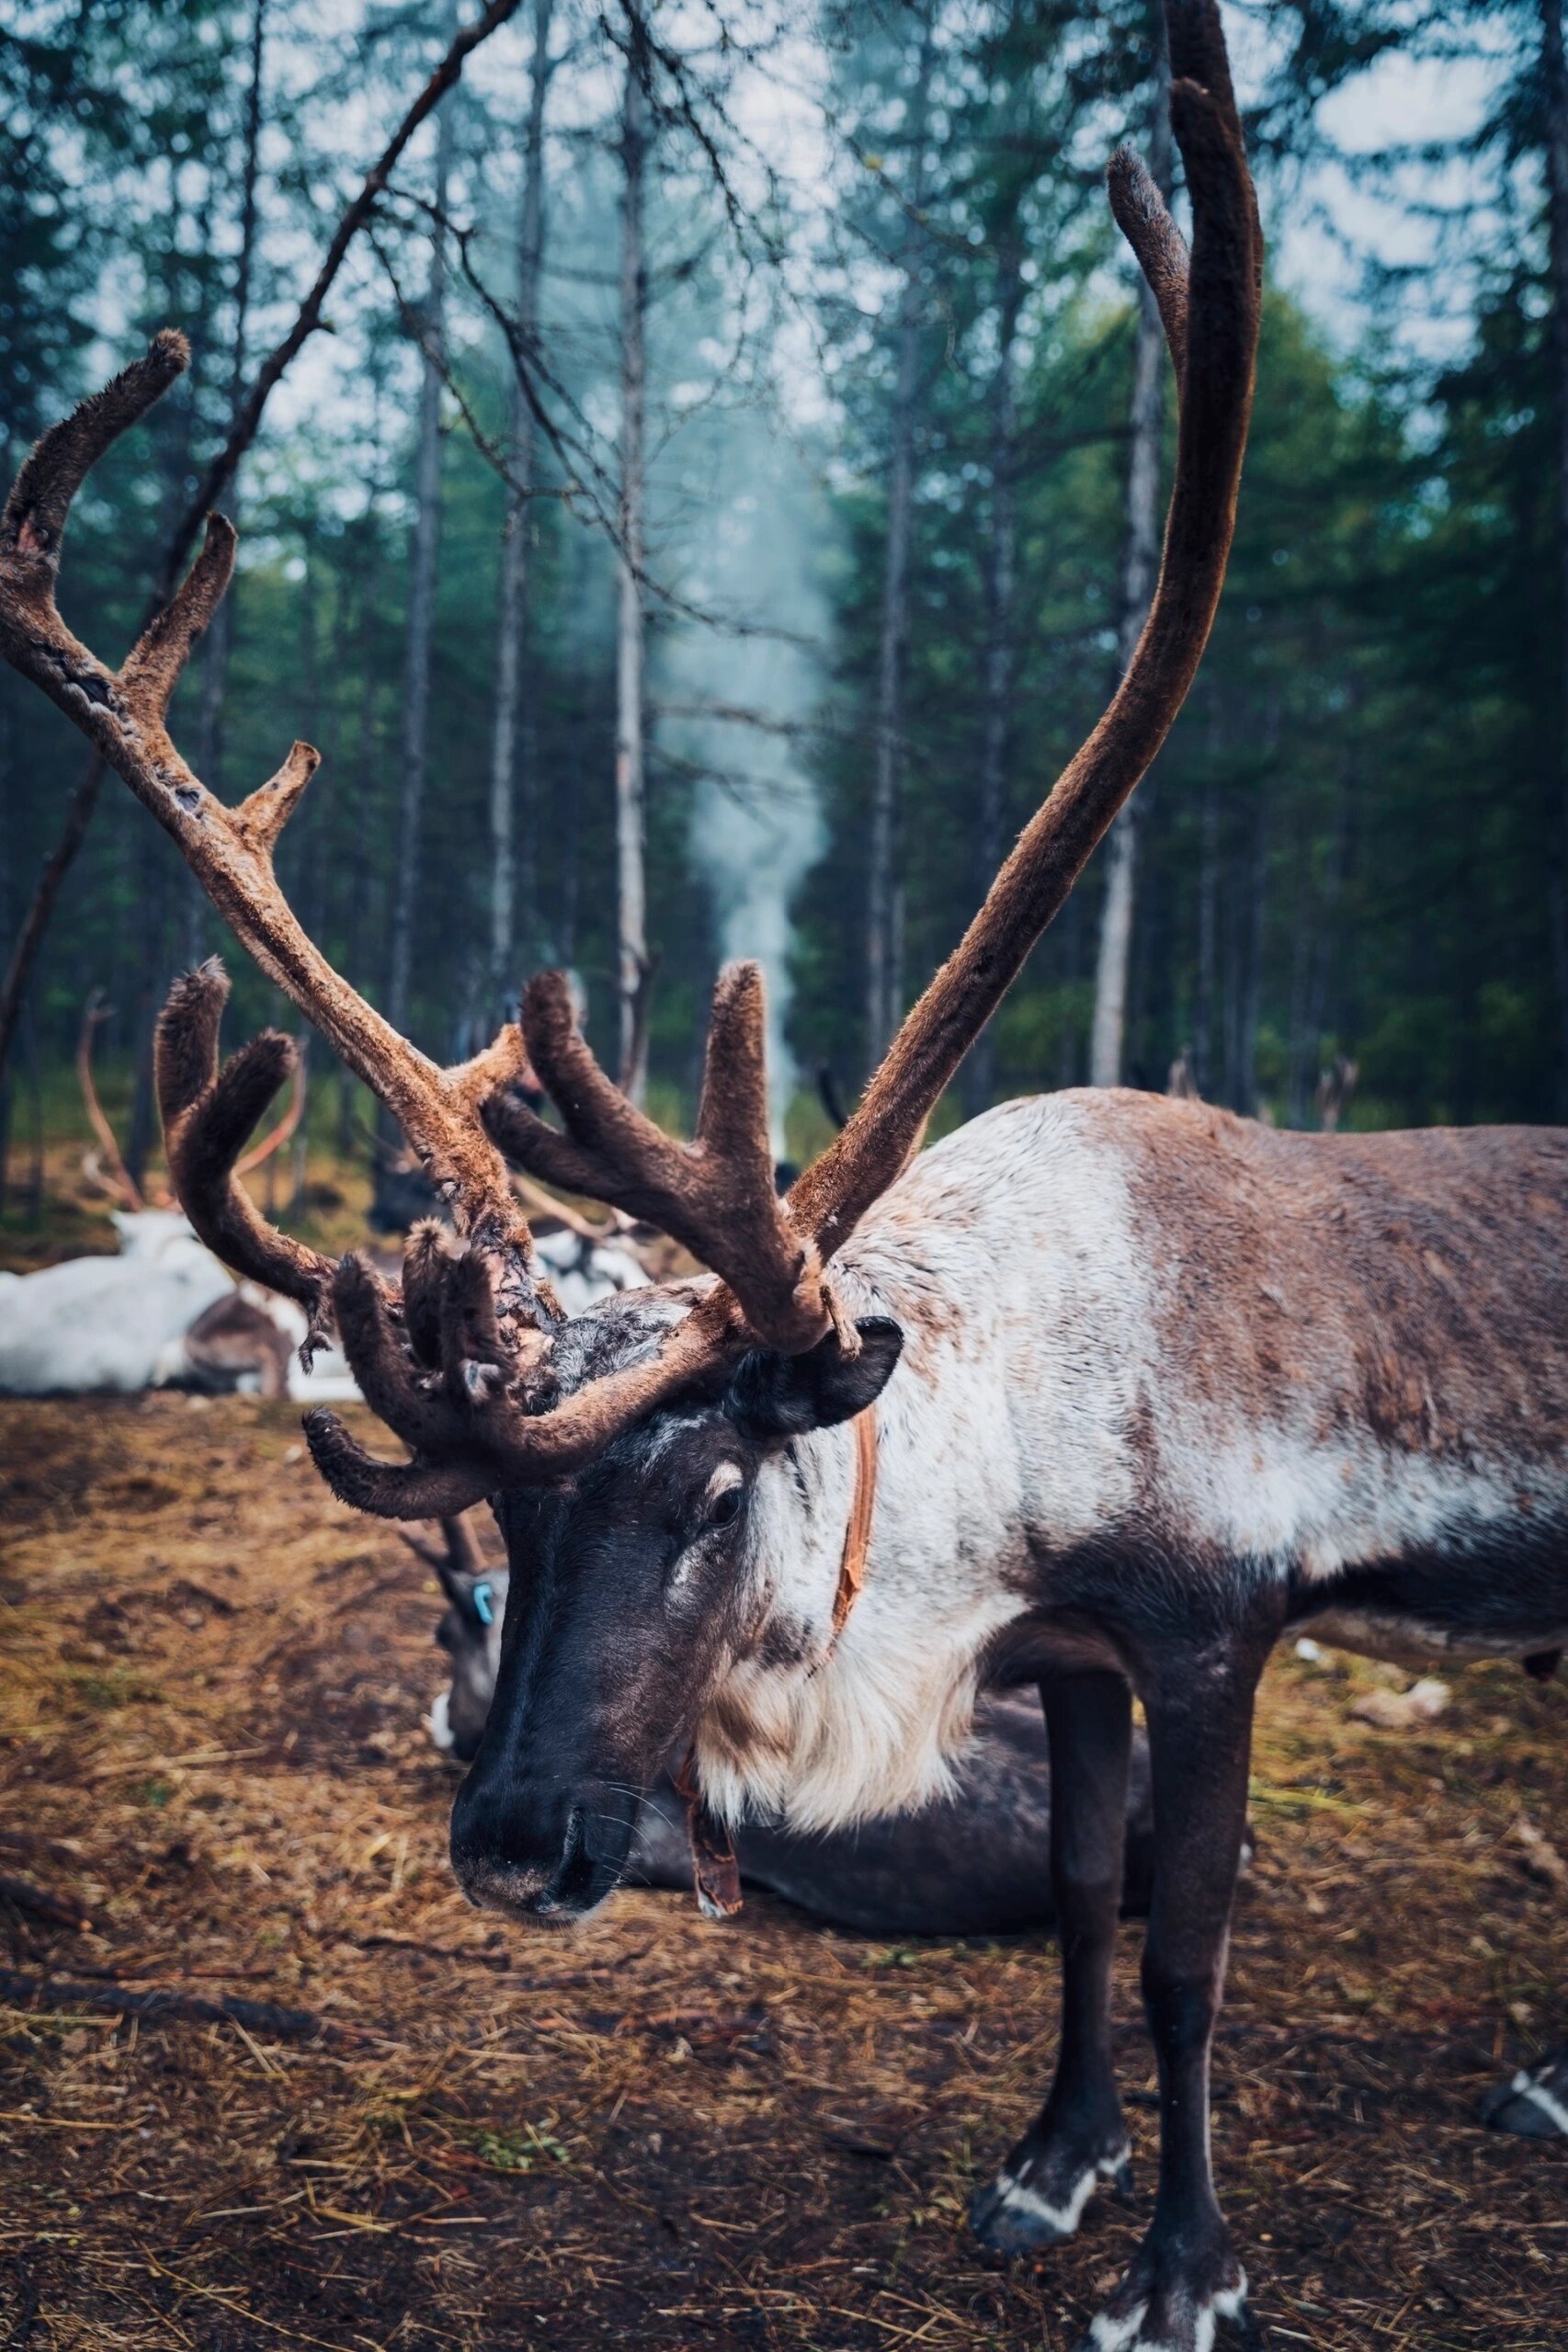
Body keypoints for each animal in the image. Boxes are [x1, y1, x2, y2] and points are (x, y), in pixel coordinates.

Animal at [0, 7, 1562, 2340]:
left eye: (713, 1482)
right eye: (502, 1514)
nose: (512, 1842)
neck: (1021, 1445)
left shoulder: (1212, 1626)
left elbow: (1186, 1945)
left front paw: (1181, 2264)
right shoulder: (1073, 1658)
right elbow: (1080, 1903)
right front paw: (1050, 2163)